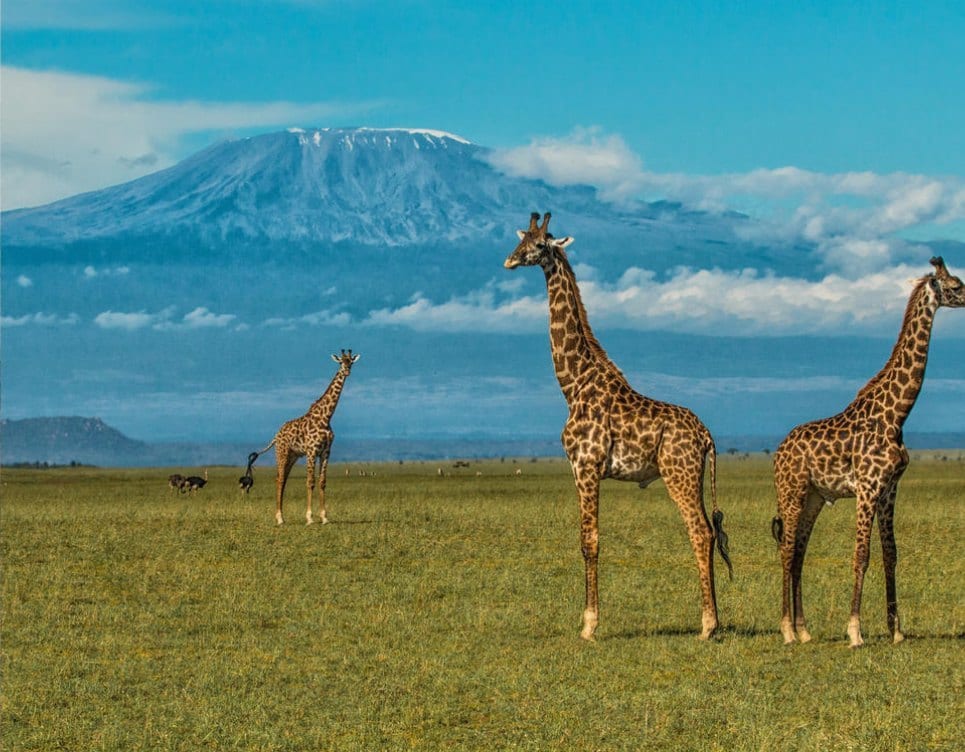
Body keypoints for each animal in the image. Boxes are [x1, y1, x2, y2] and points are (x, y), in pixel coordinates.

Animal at [250, 349, 360, 525]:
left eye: (351, 362)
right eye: (340, 362)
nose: (347, 371)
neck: (326, 417)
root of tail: (276, 435)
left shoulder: (326, 452)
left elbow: (322, 482)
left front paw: (324, 517)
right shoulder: (311, 451)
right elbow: (310, 482)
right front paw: (309, 518)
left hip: (293, 456)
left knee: (283, 479)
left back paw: (281, 516)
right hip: (281, 453)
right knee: (279, 479)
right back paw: (279, 518)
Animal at [504, 212, 732, 641]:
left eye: (540, 245)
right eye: (521, 239)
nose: (509, 260)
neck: (573, 384)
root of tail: (707, 436)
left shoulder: (586, 466)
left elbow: (589, 541)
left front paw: (589, 625)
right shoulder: (582, 469)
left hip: (678, 474)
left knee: (700, 530)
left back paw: (708, 625)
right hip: (692, 477)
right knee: (709, 532)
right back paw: (713, 620)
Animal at [772, 257, 965, 647]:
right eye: (955, 286)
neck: (896, 414)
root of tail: (779, 451)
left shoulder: (890, 488)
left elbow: (891, 553)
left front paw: (896, 630)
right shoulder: (866, 487)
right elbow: (861, 555)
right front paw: (855, 631)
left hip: (814, 497)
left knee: (799, 552)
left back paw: (804, 630)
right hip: (792, 491)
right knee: (786, 550)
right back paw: (786, 630)